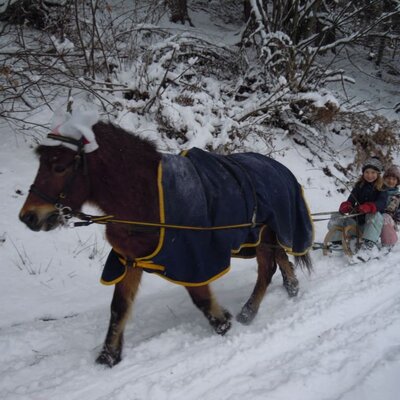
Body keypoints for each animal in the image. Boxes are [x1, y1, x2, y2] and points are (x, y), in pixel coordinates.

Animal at [18, 119, 312, 368]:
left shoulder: (193, 259)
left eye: (59, 167)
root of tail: (280, 168)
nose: (28, 217)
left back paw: (248, 312)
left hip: (264, 235)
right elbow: (118, 308)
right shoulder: (129, 260)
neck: (144, 197)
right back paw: (291, 287)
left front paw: (224, 323)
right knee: (280, 259)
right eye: (42, 163)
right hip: (266, 236)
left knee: (266, 270)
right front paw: (109, 355)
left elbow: (201, 299)